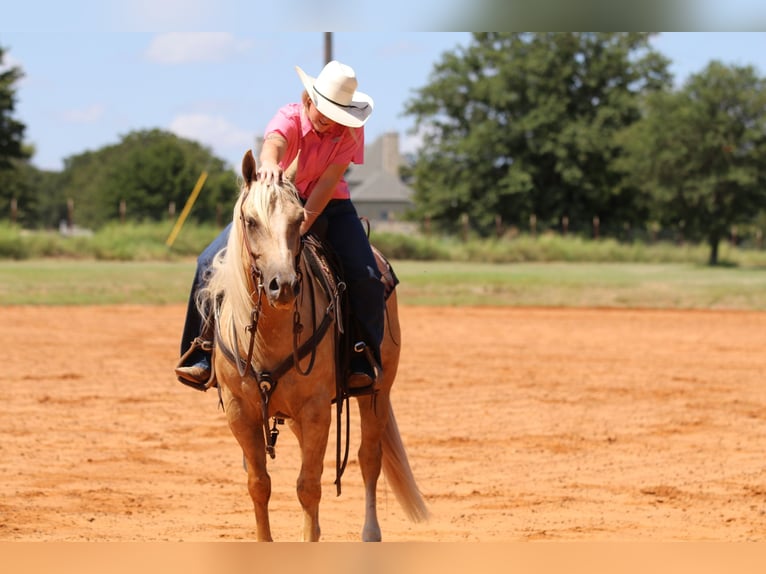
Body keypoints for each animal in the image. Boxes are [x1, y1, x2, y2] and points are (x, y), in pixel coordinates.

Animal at [196, 149, 429, 541]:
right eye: (250, 221)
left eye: (298, 219)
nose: (283, 285)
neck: (267, 338)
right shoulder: (239, 410)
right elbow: (259, 483)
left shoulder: (317, 408)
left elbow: (309, 485)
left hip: (378, 391)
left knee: (369, 457)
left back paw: (370, 533)